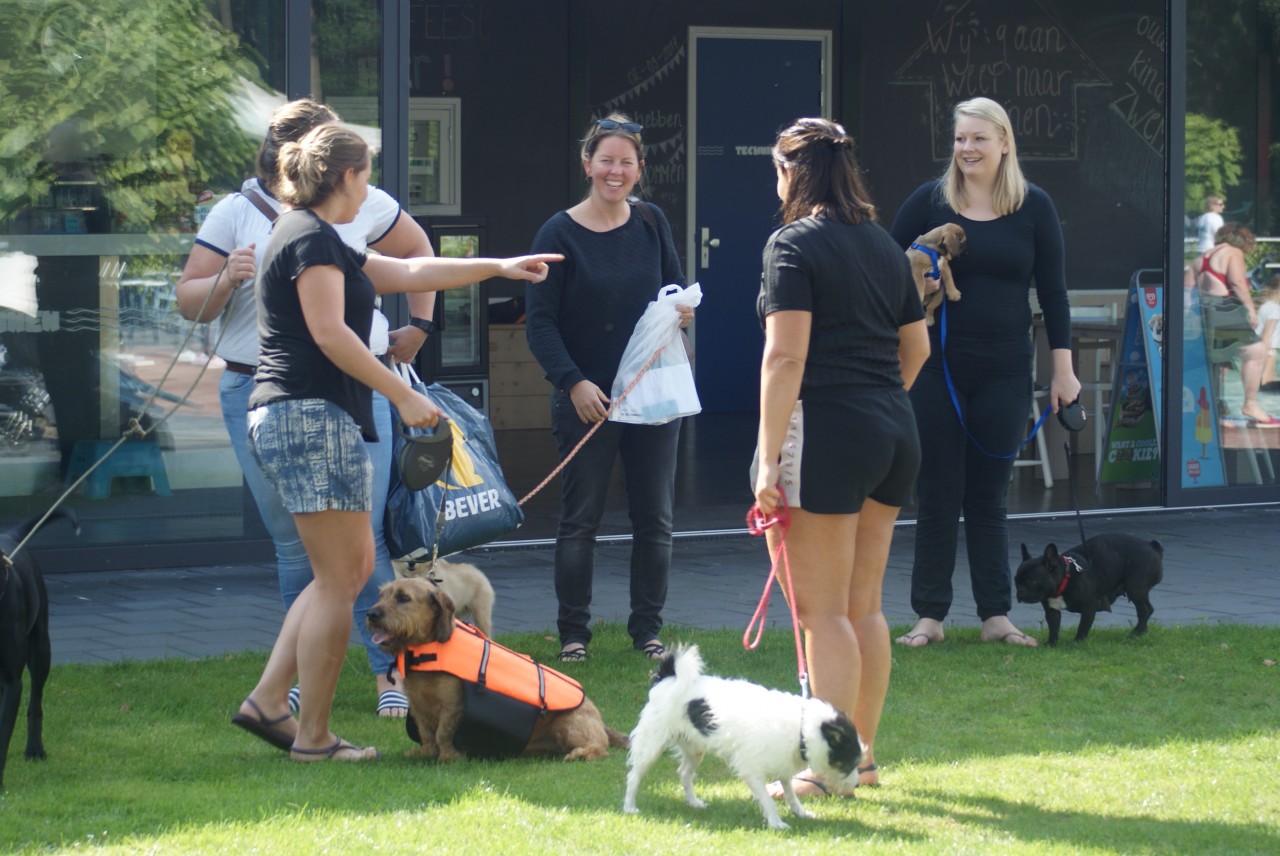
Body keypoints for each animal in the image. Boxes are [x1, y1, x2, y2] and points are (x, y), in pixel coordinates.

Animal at [363, 573, 627, 762]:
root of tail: (600, 721)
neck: (426, 651)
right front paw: (424, 754)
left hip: (570, 725)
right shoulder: (418, 708)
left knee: (600, 748)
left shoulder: (452, 706)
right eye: (382, 595)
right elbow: (428, 735)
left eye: (403, 598)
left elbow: (443, 733)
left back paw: (582, 753)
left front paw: (447, 757)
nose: (371, 613)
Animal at [619, 647, 860, 829]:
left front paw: (800, 812)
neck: (802, 727)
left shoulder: (782, 765)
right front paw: (776, 823)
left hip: (694, 748)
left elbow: (790, 793)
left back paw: (694, 802)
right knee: (634, 775)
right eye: (848, 763)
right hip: (652, 743)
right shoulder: (751, 770)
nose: (858, 784)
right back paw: (630, 806)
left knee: (684, 773)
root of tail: (668, 677)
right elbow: (767, 800)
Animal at [1013, 529, 1167, 644]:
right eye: (1015, 581)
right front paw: (1051, 644)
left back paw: (1136, 633)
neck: (1066, 577)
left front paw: (1077, 642)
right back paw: (1141, 633)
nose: (1019, 591)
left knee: (1145, 610)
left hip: (1136, 588)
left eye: (1031, 581)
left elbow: (1083, 626)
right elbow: (1054, 627)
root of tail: (1152, 545)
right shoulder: (1052, 610)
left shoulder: (1089, 607)